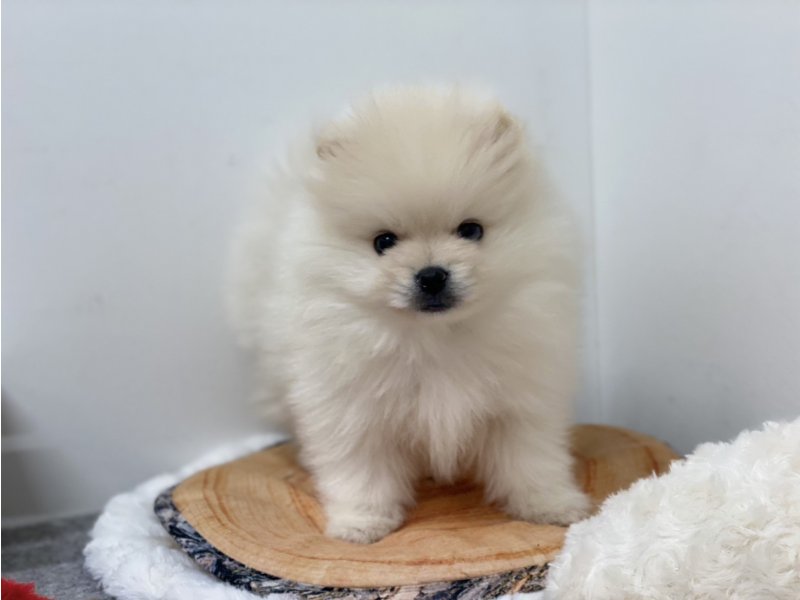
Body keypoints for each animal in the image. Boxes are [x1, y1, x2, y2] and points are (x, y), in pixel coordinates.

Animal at [228, 86, 590, 543]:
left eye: (471, 230)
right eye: (384, 242)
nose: (432, 275)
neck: (435, 337)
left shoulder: (520, 404)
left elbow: (532, 459)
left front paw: (551, 506)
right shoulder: (353, 412)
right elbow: (360, 470)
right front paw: (361, 522)